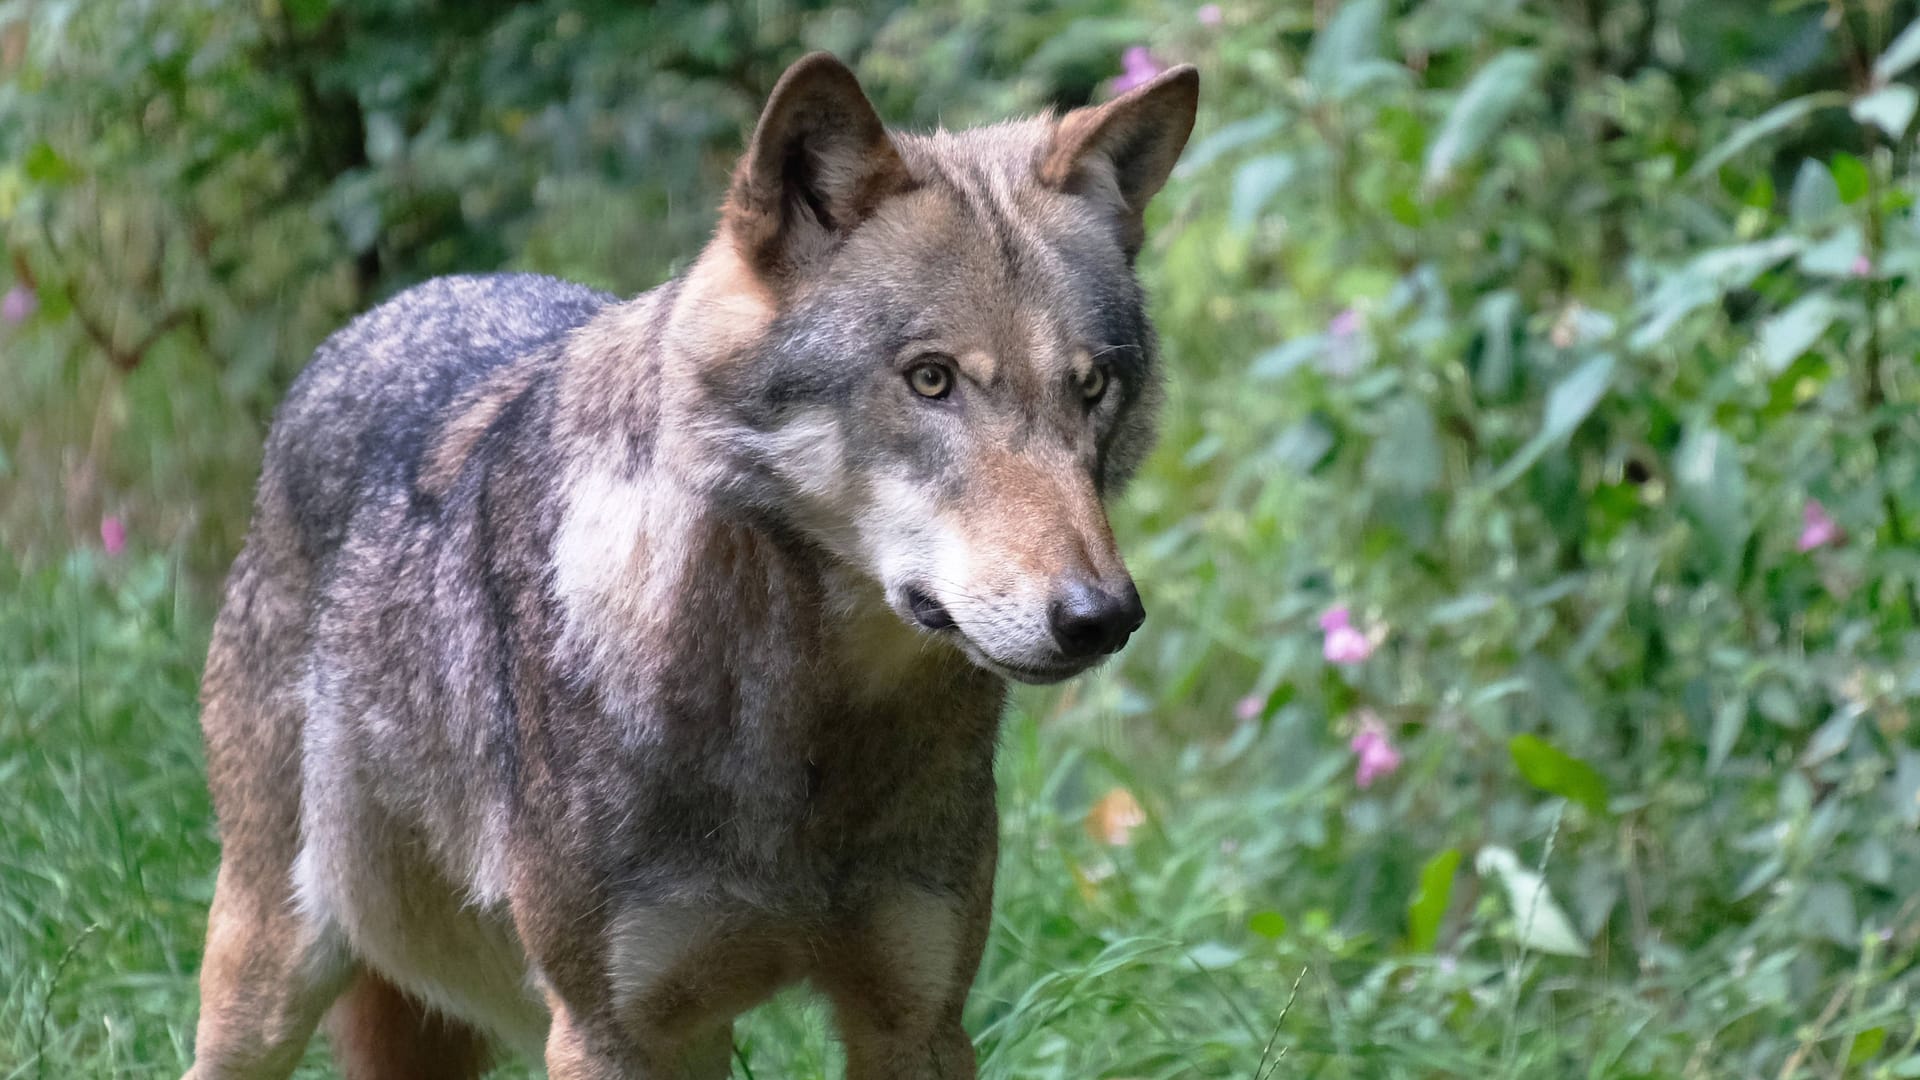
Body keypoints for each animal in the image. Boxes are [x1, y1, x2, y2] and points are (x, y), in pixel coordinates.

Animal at [185, 52, 1196, 1079]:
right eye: (930, 379)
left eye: (1092, 386)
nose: (1100, 617)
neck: (806, 733)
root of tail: (379, 315)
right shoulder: (609, 1033)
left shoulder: (919, 1018)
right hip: (267, 981)